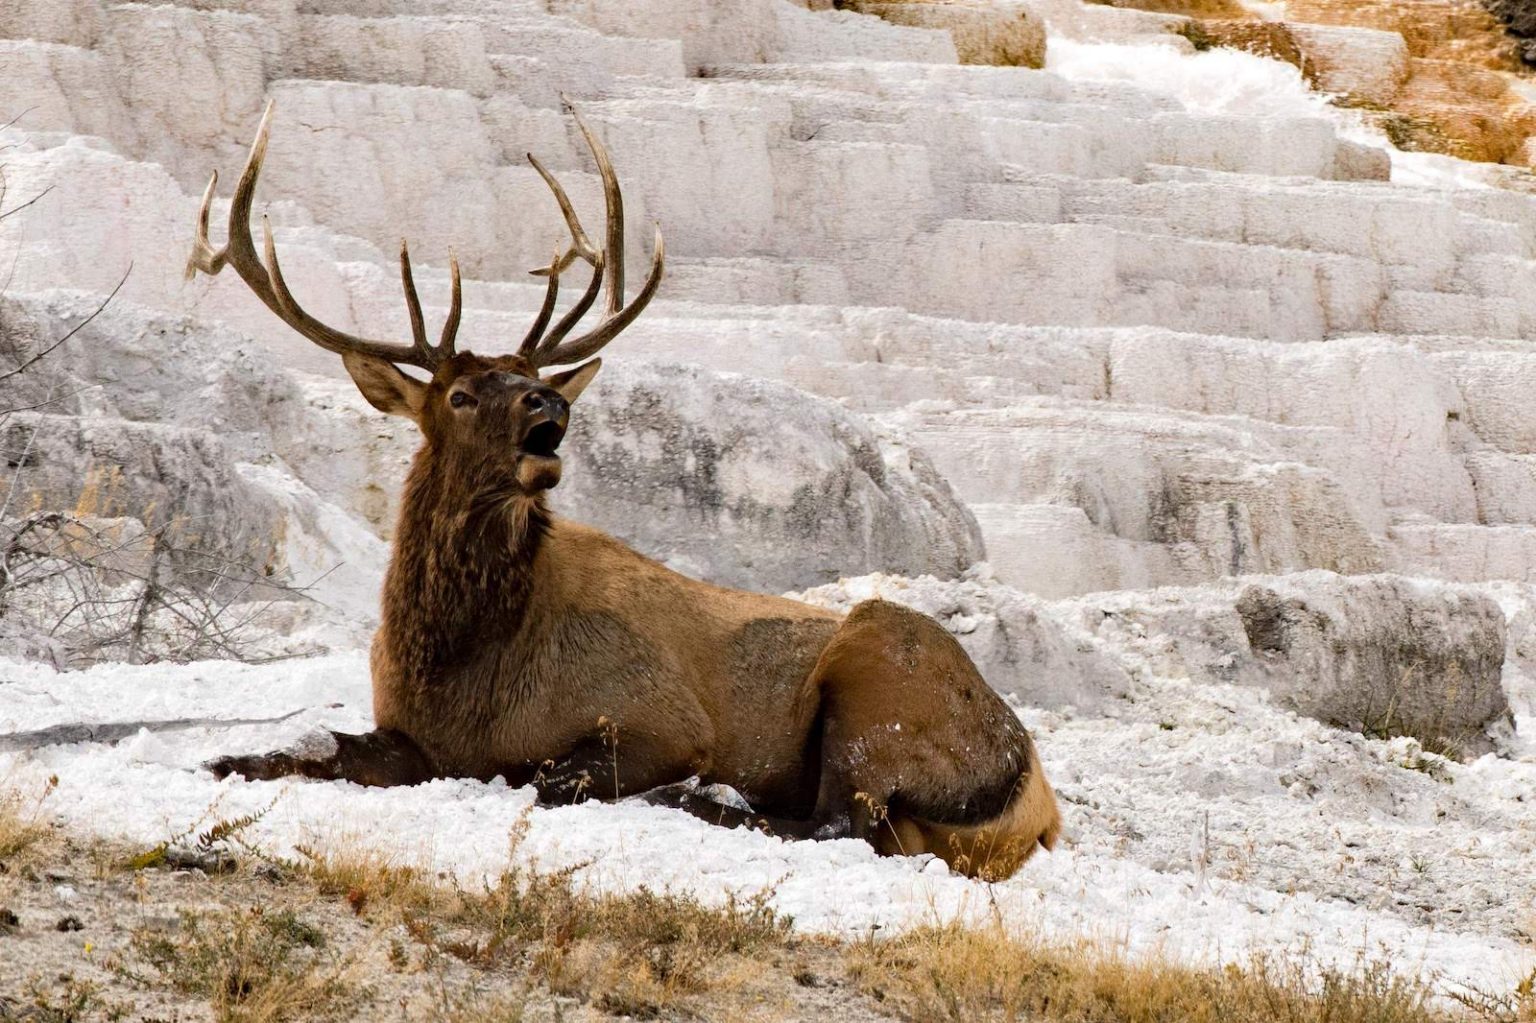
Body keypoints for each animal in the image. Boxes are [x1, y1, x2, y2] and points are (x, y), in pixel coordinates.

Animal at [190, 102, 1061, 880]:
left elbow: (550, 776)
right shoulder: (402, 726)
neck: (463, 663)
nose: (549, 402)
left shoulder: (661, 715)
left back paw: (709, 797)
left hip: (881, 680)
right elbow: (307, 747)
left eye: (529, 378)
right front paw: (224, 757)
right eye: (461, 394)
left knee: (843, 819)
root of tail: (1039, 805)